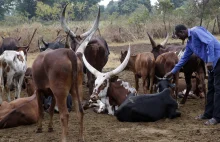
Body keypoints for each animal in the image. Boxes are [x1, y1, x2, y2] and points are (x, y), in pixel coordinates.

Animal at [31, 6, 99, 142]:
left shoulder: (38, 90)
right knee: (80, 111)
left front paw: (40, 128)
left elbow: (41, 110)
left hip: (60, 91)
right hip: (76, 88)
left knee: (65, 114)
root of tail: (69, 53)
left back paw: (64, 138)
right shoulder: (52, 93)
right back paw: (81, 137)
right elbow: (51, 110)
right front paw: (50, 127)